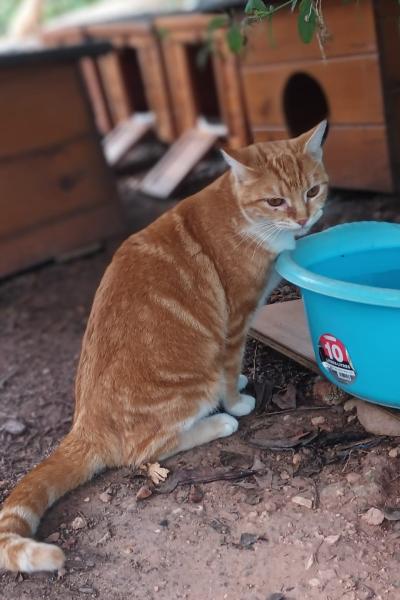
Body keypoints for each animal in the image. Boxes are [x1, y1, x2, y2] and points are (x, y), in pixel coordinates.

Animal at [0, 121, 328, 573]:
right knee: (145, 451)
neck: (239, 212)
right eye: (276, 200)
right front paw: (238, 400)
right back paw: (218, 422)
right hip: (194, 382)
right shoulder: (234, 323)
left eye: (313, 191)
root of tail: (85, 426)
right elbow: (231, 369)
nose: (303, 218)